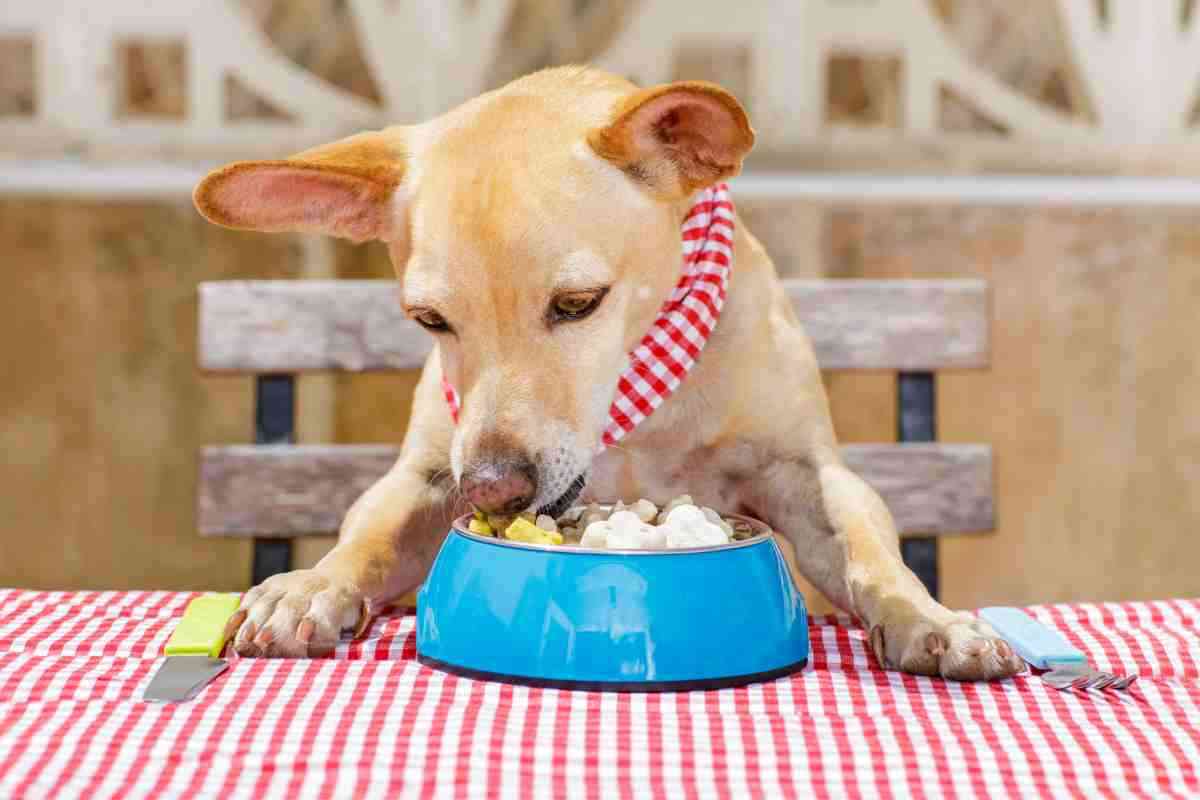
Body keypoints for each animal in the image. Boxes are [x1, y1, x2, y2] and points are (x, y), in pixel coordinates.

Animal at [196, 67, 1022, 681]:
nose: (491, 487)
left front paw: (930, 619)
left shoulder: (807, 476)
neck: (634, 400)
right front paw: (311, 584)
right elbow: (366, 535)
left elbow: (872, 554)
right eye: (429, 320)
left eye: (578, 303)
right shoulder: (426, 477)